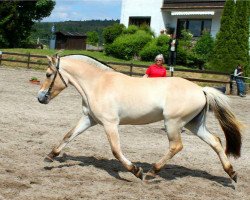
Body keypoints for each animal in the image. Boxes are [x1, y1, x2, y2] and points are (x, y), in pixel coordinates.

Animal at [37, 54, 242, 182]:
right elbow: (68, 136)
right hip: (194, 124)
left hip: (173, 123)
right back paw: (231, 173)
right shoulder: (89, 119)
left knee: (176, 146)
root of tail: (201, 90)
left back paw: (151, 173)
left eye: (48, 74)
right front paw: (50, 156)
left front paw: (136, 171)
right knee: (215, 141)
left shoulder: (110, 124)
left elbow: (116, 150)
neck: (97, 84)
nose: (40, 98)